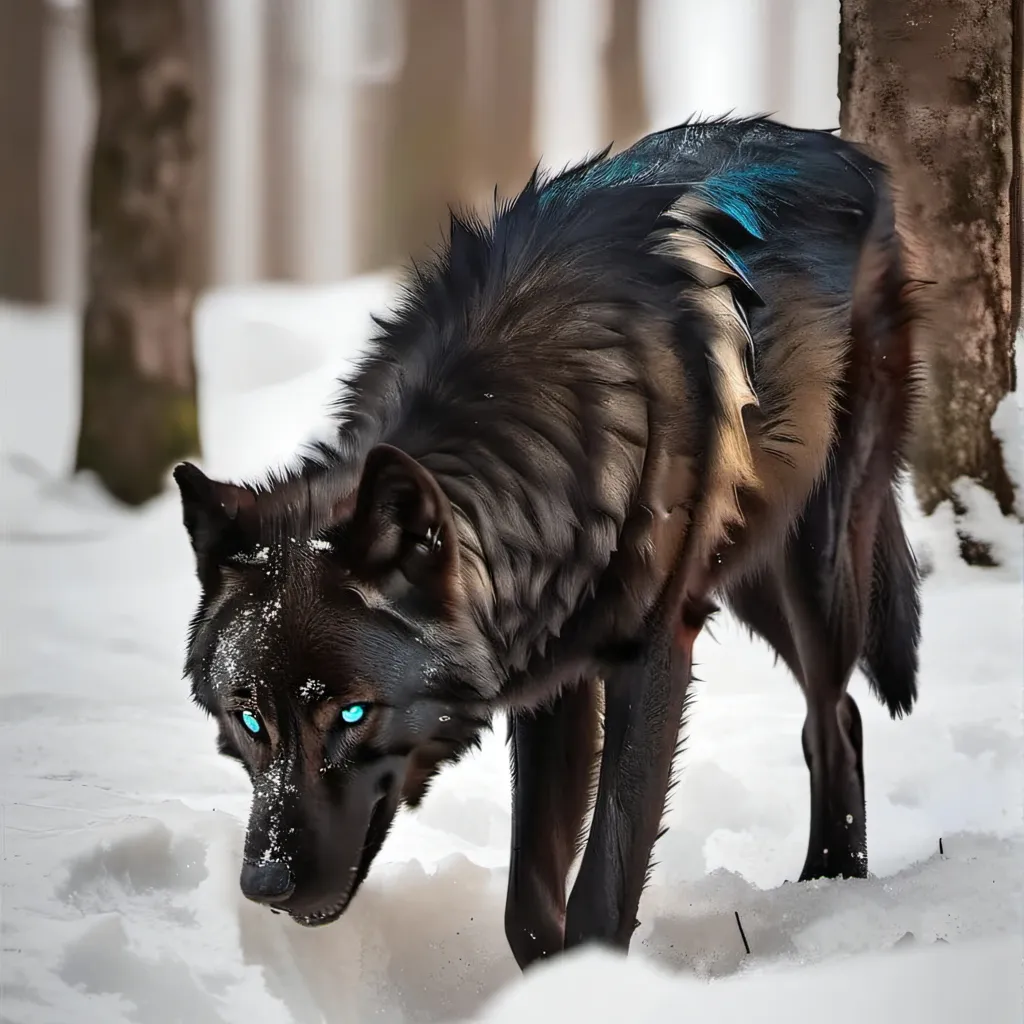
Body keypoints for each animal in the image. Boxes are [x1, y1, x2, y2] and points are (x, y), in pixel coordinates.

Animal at [174, 115, 926, 969]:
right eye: (248, 719)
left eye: (355, 713)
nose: (264, 886)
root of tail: (839, 147)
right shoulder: (547, 676)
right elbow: (528, 908)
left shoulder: (652, 653)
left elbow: (604, 879)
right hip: (744, 577)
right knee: (839, 716)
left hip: (820, 569)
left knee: (835, 717)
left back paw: (832, 884)